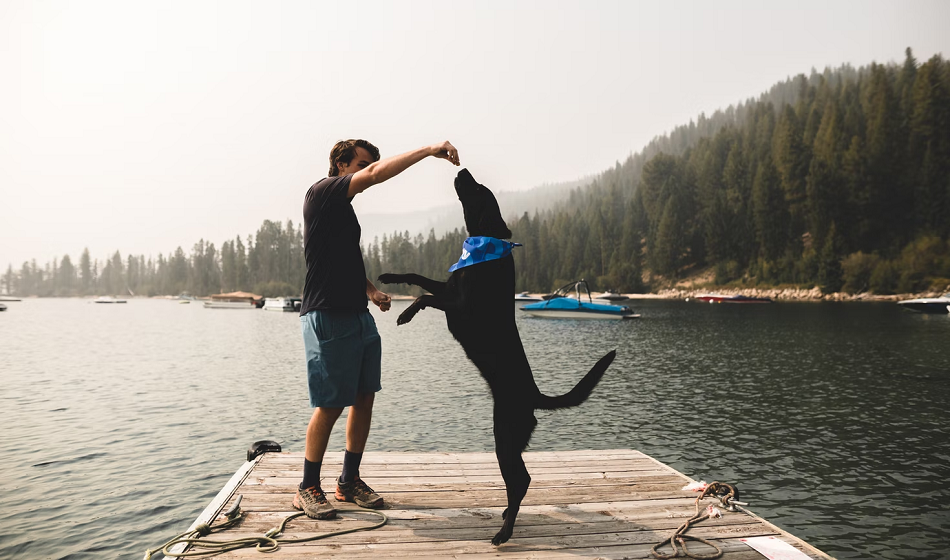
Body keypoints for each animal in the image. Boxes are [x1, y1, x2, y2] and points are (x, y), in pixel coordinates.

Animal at [380, 168, 616, 544]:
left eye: (479, 188)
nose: (461, 170)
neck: (485, 244)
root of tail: (534, 396)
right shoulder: (448, 287)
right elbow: (416, 277)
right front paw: (390, 276)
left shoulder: (459, 306)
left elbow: (424, 297)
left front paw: (406, 313)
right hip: (510, 440)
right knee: (520, 482)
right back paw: (506, 517)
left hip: (504, 436)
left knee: (521, 481)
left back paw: (504, 532)